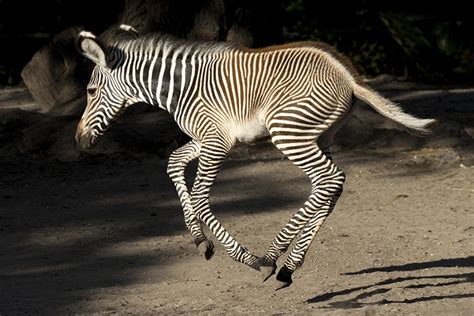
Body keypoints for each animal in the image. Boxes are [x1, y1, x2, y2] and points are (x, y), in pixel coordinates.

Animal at [74, 25, 434, 288]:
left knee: (329, 179)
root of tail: (349, 77)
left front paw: (245, 258)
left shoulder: (216, 140)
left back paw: (273, 256)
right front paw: (199, 241)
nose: (79, 140)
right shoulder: (206, 138)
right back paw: (289, 266)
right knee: (330, 186)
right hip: (319, 136)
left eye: (90, 91)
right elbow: (174, 162)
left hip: (289, 132)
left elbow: (201, 197)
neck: (179, 88)